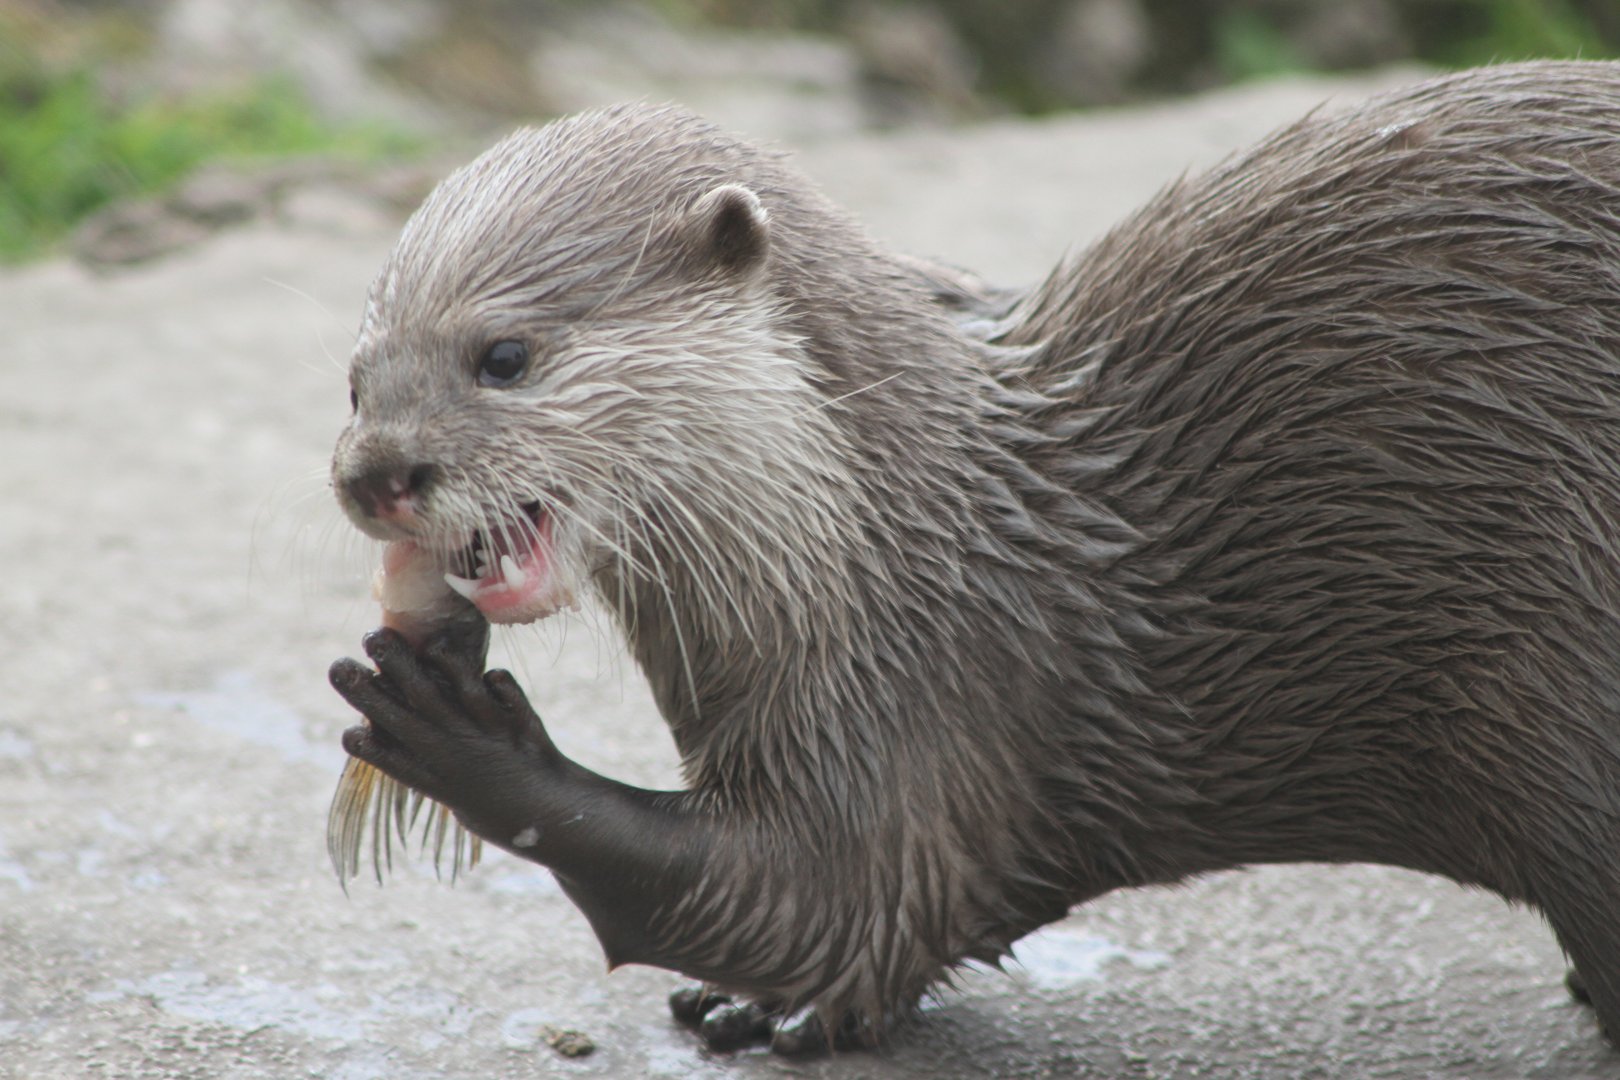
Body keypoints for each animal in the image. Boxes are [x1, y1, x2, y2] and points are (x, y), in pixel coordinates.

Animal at [327, 61, 1620, 1055]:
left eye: (504, 355)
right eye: (354, 378)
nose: (375, 473)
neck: (893, 544)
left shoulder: (931, 700)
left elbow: (823, 900)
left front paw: (457, 731)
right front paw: (758, 1006)